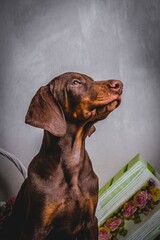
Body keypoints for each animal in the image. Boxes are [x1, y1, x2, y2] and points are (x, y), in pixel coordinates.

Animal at [2, 72, 122, 239]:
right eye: (75, 82)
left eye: (92, 80)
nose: (119, 84)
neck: (71, 162)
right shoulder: (35, 229)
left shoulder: (91, 220)